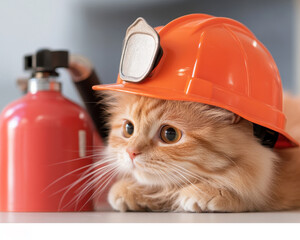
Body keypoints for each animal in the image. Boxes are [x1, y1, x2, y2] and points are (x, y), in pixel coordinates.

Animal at [92, 90, 298, 212]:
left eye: (170, 134)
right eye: (129, 129)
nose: (131, 152)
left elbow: (250, 192)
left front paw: (207, 192)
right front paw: (131, 190)